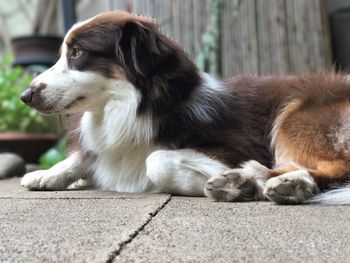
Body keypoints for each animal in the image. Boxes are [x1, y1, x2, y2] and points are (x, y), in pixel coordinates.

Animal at [19, 10, 350, 205]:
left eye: (77, 52)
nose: (25, 95)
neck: (138, 106)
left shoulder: (235, 146)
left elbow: (155, 160)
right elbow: (83, 157)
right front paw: (46, 174)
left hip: (295, 115)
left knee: (336, 167)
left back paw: (271, 182)